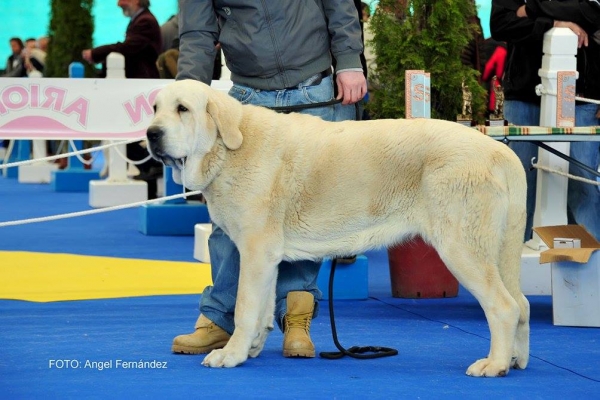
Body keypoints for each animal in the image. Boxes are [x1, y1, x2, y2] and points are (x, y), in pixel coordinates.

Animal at [146, 79, 528, 376]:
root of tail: (499, 151)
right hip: (494, 251)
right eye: (155, 108)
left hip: (461, 248)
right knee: (521, 303)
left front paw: (231, 355)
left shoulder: (254, 251)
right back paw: (515, 360)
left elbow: (244, 309)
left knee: (504, 306)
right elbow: (262, 309)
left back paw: (494, 365)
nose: (152, 134)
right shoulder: (266, 257)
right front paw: (251, 348)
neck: (228, 147)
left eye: (183, 109)